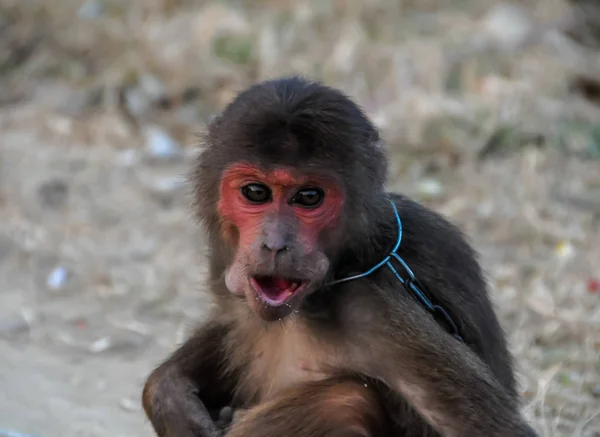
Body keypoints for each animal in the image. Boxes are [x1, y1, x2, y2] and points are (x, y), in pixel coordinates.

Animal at [142, 76, 540, 434]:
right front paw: (169, 393)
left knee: (345, 402)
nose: (275, 245)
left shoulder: (374, 310)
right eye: (255, 192)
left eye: (308, 197)